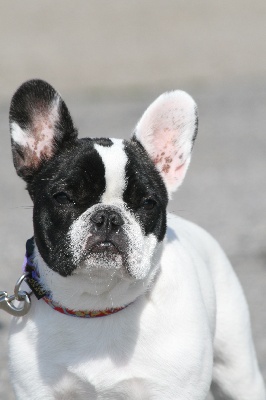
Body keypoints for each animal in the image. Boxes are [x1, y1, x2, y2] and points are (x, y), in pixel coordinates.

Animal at [8, 79, 266, 398]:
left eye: (147, 203)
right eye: (64, 197)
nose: (108, 217)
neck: (97, 303)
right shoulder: (36, 390)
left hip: (237, 369)